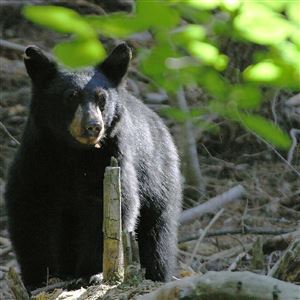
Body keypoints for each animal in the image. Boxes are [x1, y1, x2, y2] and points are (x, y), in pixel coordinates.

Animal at [5, 43, 183, 290]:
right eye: (71, 96)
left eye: (102, 98)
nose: (93, 126)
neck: (74, 152)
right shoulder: (38, 156)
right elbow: (30, 209)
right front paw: (40, 278)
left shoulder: (111, 158)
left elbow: (108, 209)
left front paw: (91, 273)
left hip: (159, 179)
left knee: (157, 235)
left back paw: (155, 274)